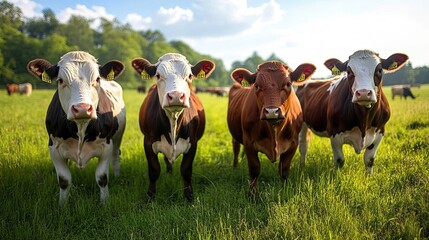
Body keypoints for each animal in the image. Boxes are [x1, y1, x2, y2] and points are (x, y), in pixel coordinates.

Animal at [27, 51, 125, 205]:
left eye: (97, 79)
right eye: (60, 80)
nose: (82, 108)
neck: (80, 127)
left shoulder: (106, 146)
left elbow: (102, 178)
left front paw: (104, 202)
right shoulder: (54, 147)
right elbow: (64, 180)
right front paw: (62, 205)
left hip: (117, 137)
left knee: (116, 155)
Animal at [130, 53, 214, 202]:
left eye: (190, 75)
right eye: (158, 75)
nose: (175, 96)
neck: (173, 123)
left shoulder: (193, 143)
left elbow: (186, 171)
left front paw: (189, 197)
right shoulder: (148, 142)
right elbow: (154, 170)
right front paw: (150, 197)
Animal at [227, 61, 314, 196]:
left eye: (288, 84)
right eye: (256, 85)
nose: (272, 111)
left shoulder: (293, 143)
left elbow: (284, 169)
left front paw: (284, 191)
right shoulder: (248, 142)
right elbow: (254, 169)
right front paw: (252, 195)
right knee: (236, 148)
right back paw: (235, 168)